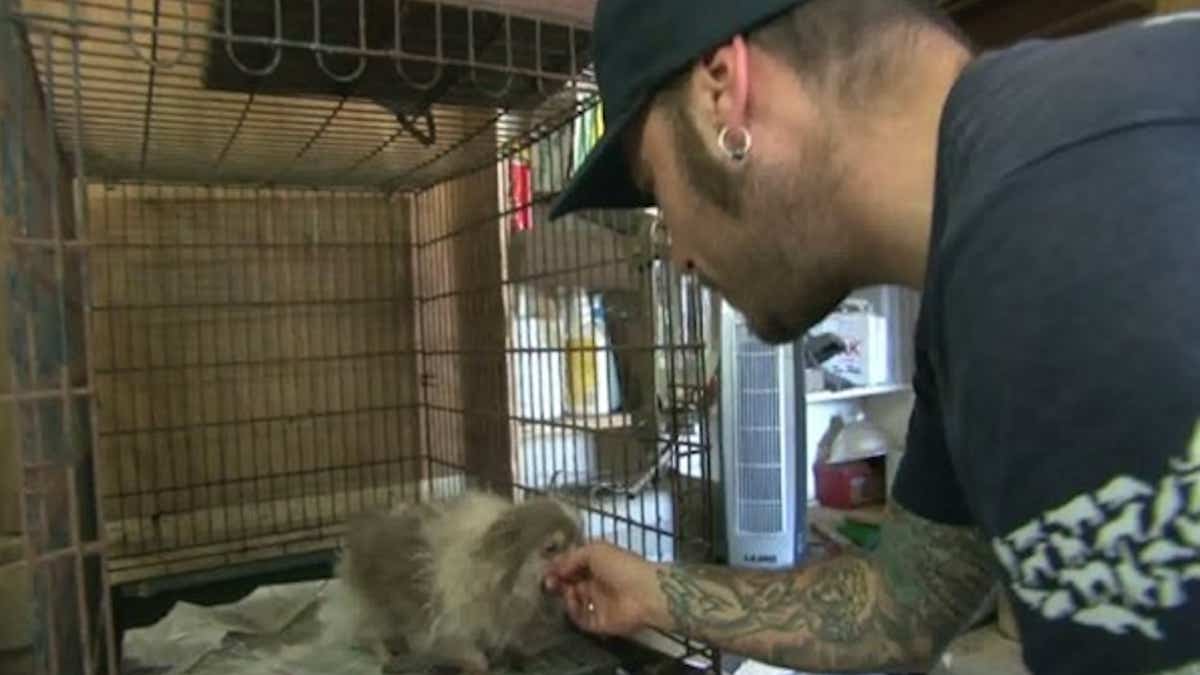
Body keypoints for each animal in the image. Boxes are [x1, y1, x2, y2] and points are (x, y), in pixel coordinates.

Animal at [331, 487, 583, 672]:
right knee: (367, 636)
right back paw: (385, 655)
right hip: (375, 613)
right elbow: (473, 657)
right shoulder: (449, 628)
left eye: (577, 542)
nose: (579, 559)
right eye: (551, 548)